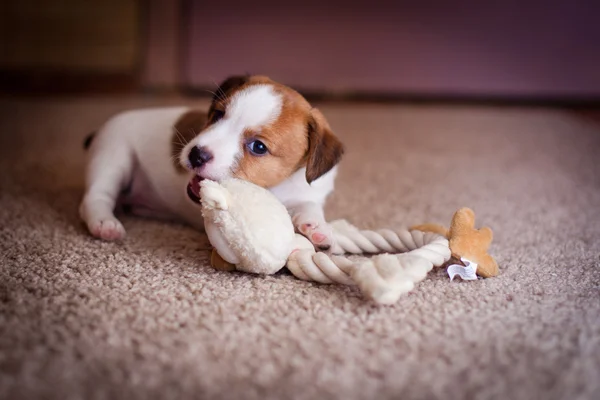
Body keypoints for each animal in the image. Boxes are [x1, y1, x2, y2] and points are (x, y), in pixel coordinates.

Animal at [79, 74, 342, 250]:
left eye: (258, 147)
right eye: (217, 115)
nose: (196, 155)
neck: (276, 188)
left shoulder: (308, 194)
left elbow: (309, 207)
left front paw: (318, 228)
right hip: (113, 157)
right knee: (96, 197)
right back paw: (104, 222)